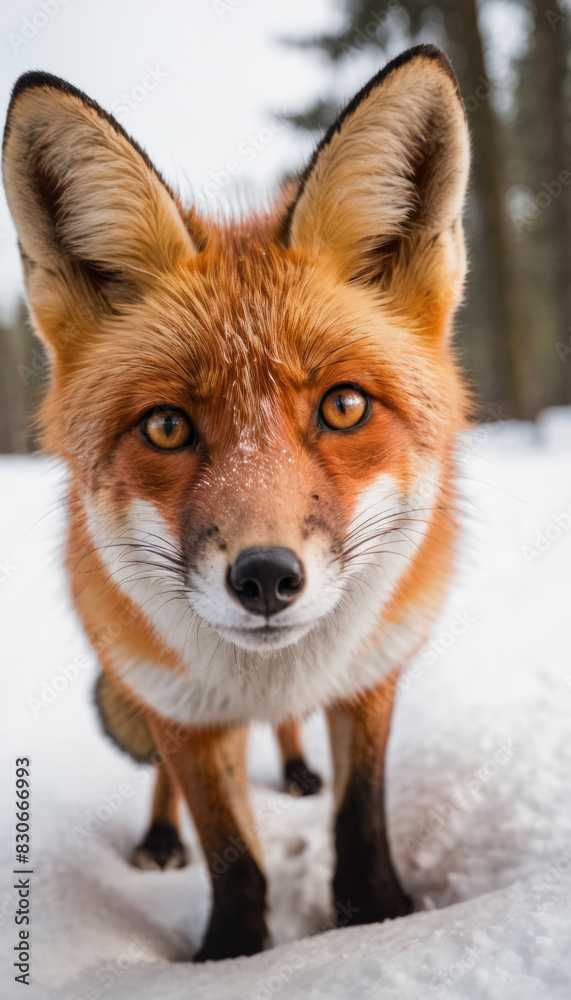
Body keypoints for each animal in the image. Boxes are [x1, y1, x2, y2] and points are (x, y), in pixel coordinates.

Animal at [2, 44, 470, 961]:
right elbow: (229, 850)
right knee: (165, 787)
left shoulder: (371, 677)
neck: (270, 677)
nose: (263, 579)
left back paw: (293, 767)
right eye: (167, 426)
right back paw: (159, 838)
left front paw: (380, 917)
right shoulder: (179, 710)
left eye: (344, 407)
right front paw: (230, 954)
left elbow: (360, 823)